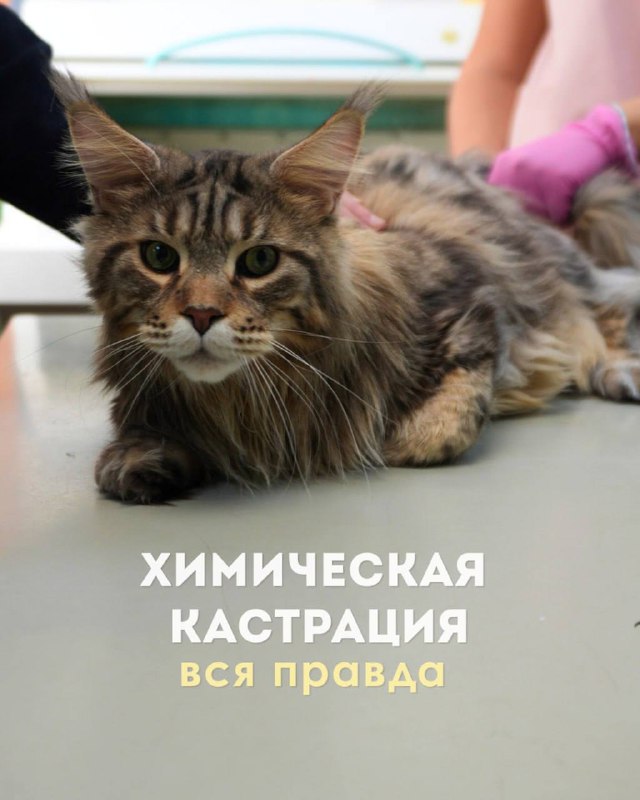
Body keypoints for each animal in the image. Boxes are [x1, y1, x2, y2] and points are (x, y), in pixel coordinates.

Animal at [53, 74, 640, 503]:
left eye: (259, 261)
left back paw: (619, 371)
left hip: (561, 271)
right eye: (159, 256)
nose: (201, 314)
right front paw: (141, 458)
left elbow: (448, 420)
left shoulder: (475, 303)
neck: (244, 401)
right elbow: (134, 441)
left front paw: (404, 438)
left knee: (603, 311)